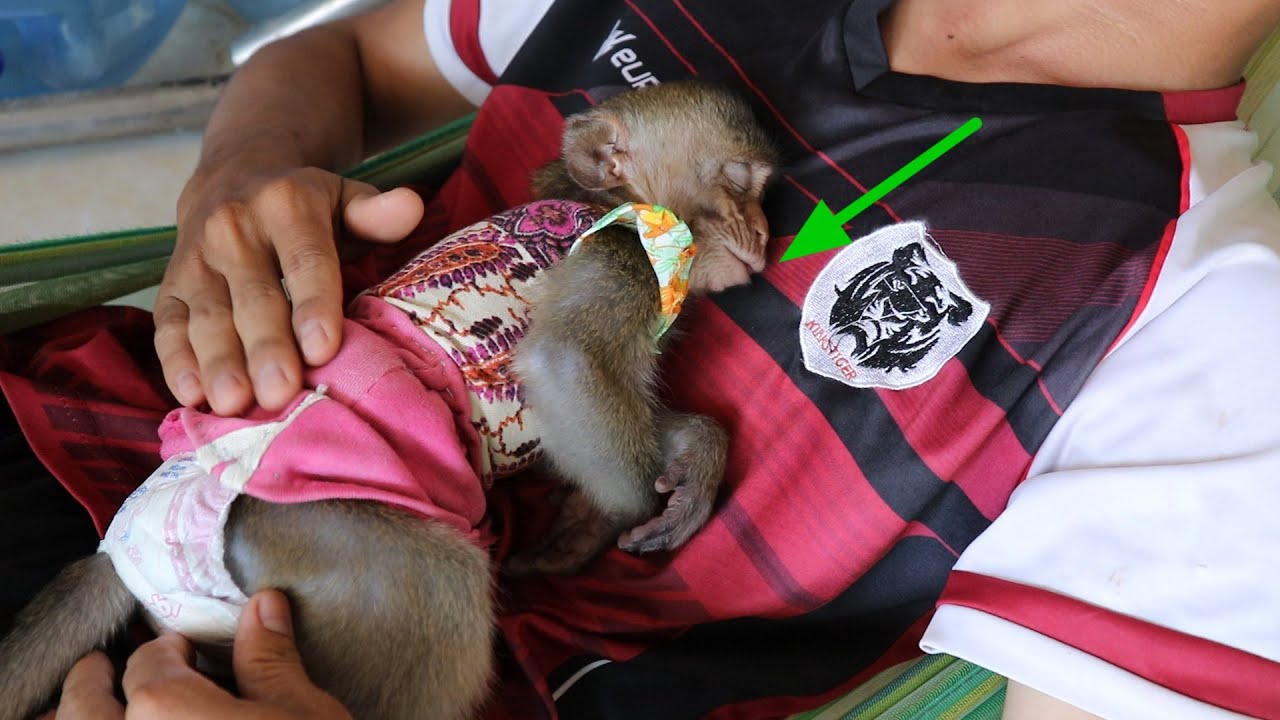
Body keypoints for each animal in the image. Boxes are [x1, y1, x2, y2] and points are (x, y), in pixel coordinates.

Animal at [0, 79, 777, 720]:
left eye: (762, 190)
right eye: (739, 180)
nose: (766, 233)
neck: (600, 201)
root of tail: (123, 552)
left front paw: (693, 462)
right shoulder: (622, 257)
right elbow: (566, 366)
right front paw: (594, 526)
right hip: (306, 532)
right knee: (436, 584)